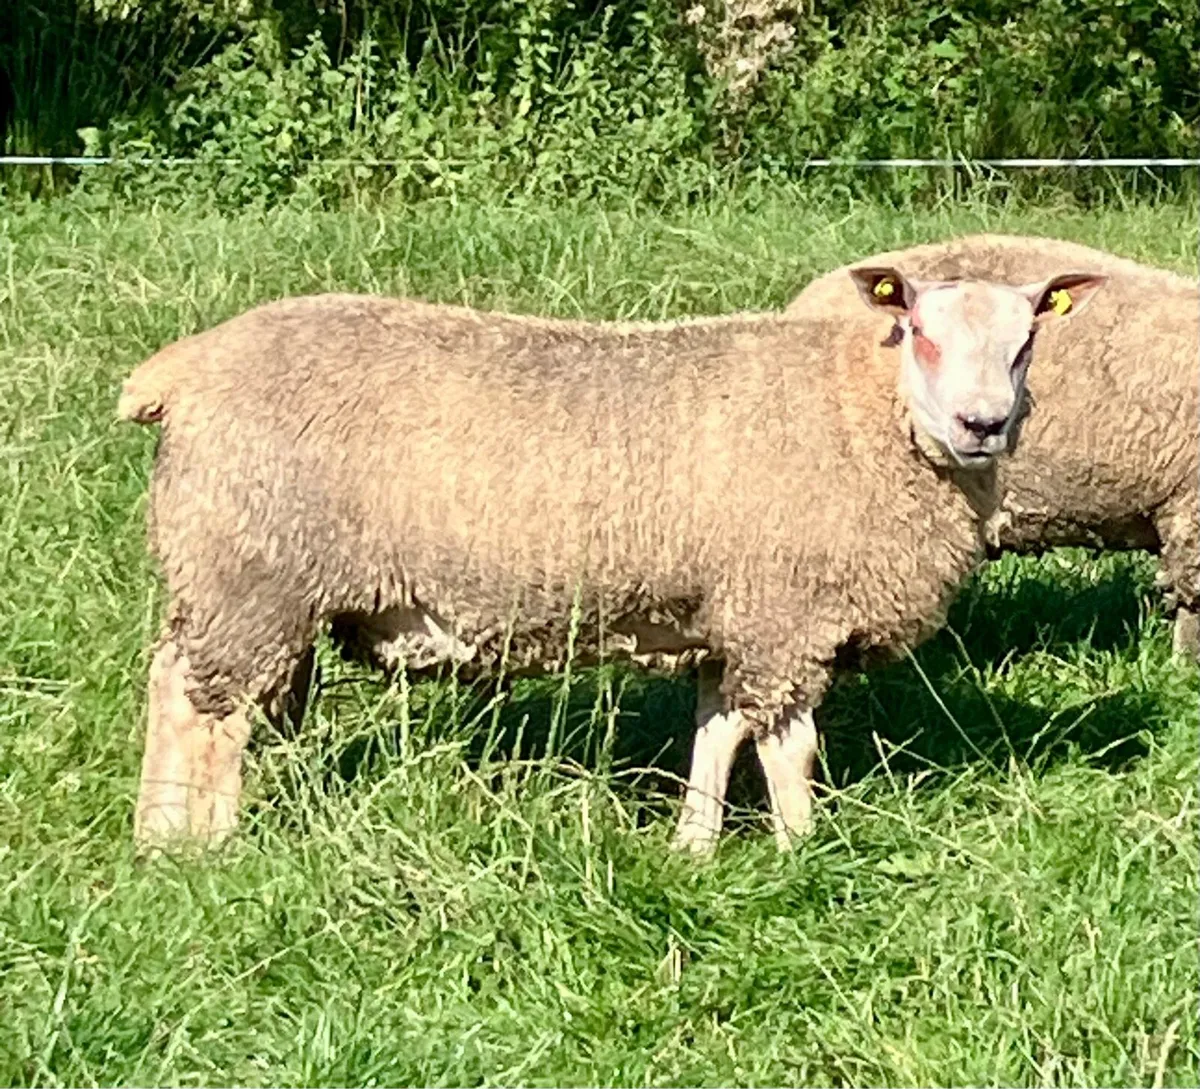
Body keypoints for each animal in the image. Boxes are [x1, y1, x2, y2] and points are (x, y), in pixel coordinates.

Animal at [118, 266, 1105, 855]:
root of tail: (180, 372)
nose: (983, 424)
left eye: (1027, 343)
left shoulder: (728, 615)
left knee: (184, 686)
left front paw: (694, 846)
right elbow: (789, 746)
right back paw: (196, 840)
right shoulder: (784, 616)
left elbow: (716, 731)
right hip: (250, 574)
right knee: (200, 707)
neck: (863, 410)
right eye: (922, 332)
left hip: (241, 581)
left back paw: (161, 833)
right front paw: (803, 848)